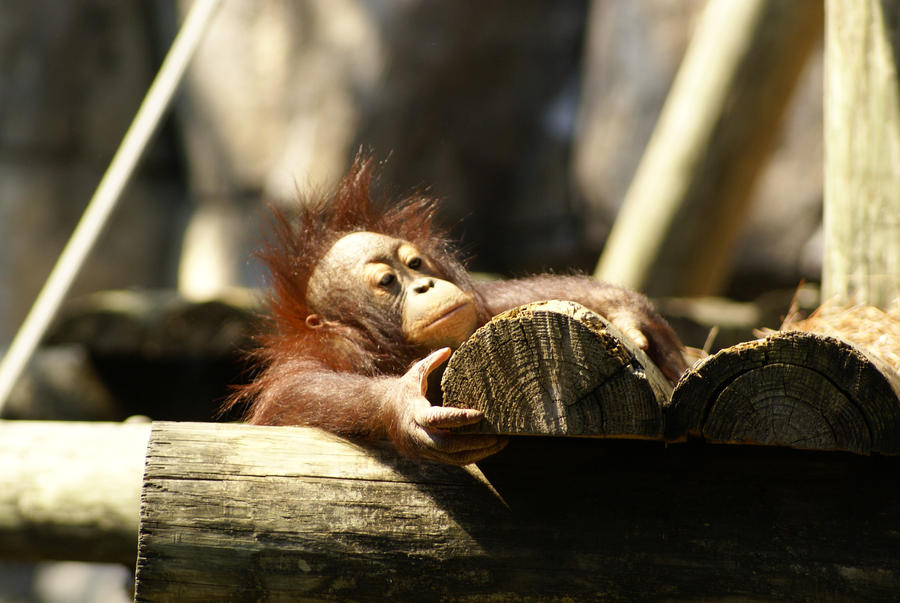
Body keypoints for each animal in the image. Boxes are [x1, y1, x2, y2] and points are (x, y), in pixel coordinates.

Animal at [227, 155, 688, 465]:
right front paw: (404, 406)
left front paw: (629, 312)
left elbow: (495, 300)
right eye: (387, 283)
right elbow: (297, 392)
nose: (425, 285)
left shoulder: (476, 306)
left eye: (414, 264)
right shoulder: (332, 348)